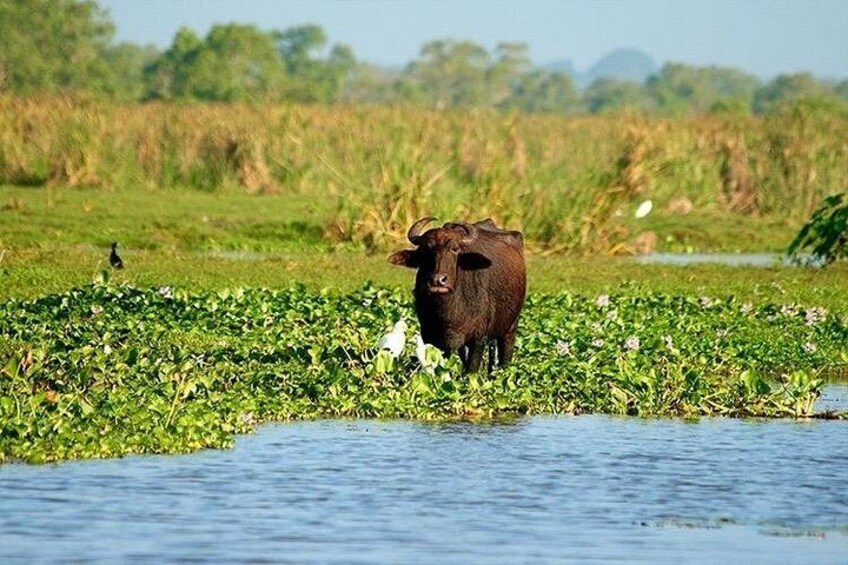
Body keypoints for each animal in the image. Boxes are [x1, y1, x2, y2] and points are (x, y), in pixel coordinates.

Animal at [389, 217, 527, 374]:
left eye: (454, 249)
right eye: (425, 250)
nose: (438, 280)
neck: (448, 312)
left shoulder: (478, 339)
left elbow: (471, 371)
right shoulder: (430, 337)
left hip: (511, 327)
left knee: (505, 356)